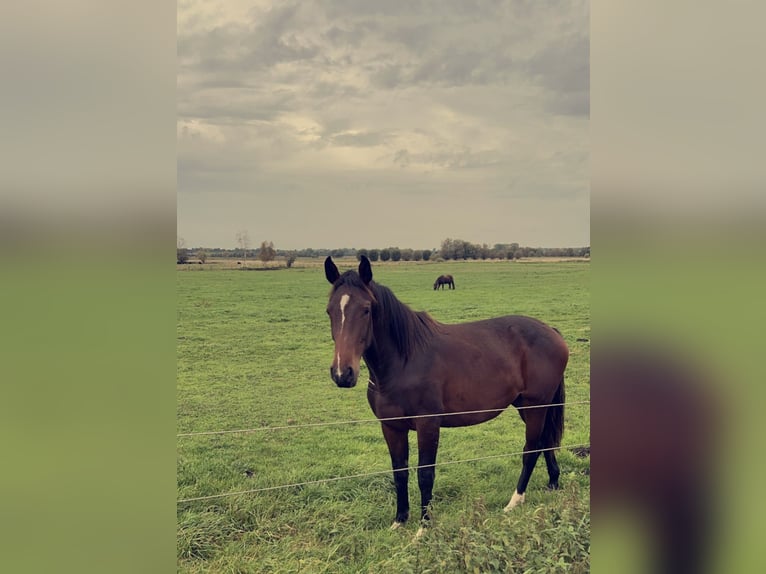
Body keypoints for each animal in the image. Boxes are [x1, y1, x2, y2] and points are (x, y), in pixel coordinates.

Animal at [320, 256, 568, 536]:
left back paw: (514, 501)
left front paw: (424, 528)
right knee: (545, 441)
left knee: (531, 449)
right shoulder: (391, 427)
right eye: (329, 310)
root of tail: (551, 331)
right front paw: (399, 520)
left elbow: (425, 474)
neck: (404, 362)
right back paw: (552, 482)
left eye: (366, 309)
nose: (343, 373)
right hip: (528, 406)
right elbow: (400, 472)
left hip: (536, 405)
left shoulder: (428, 424)